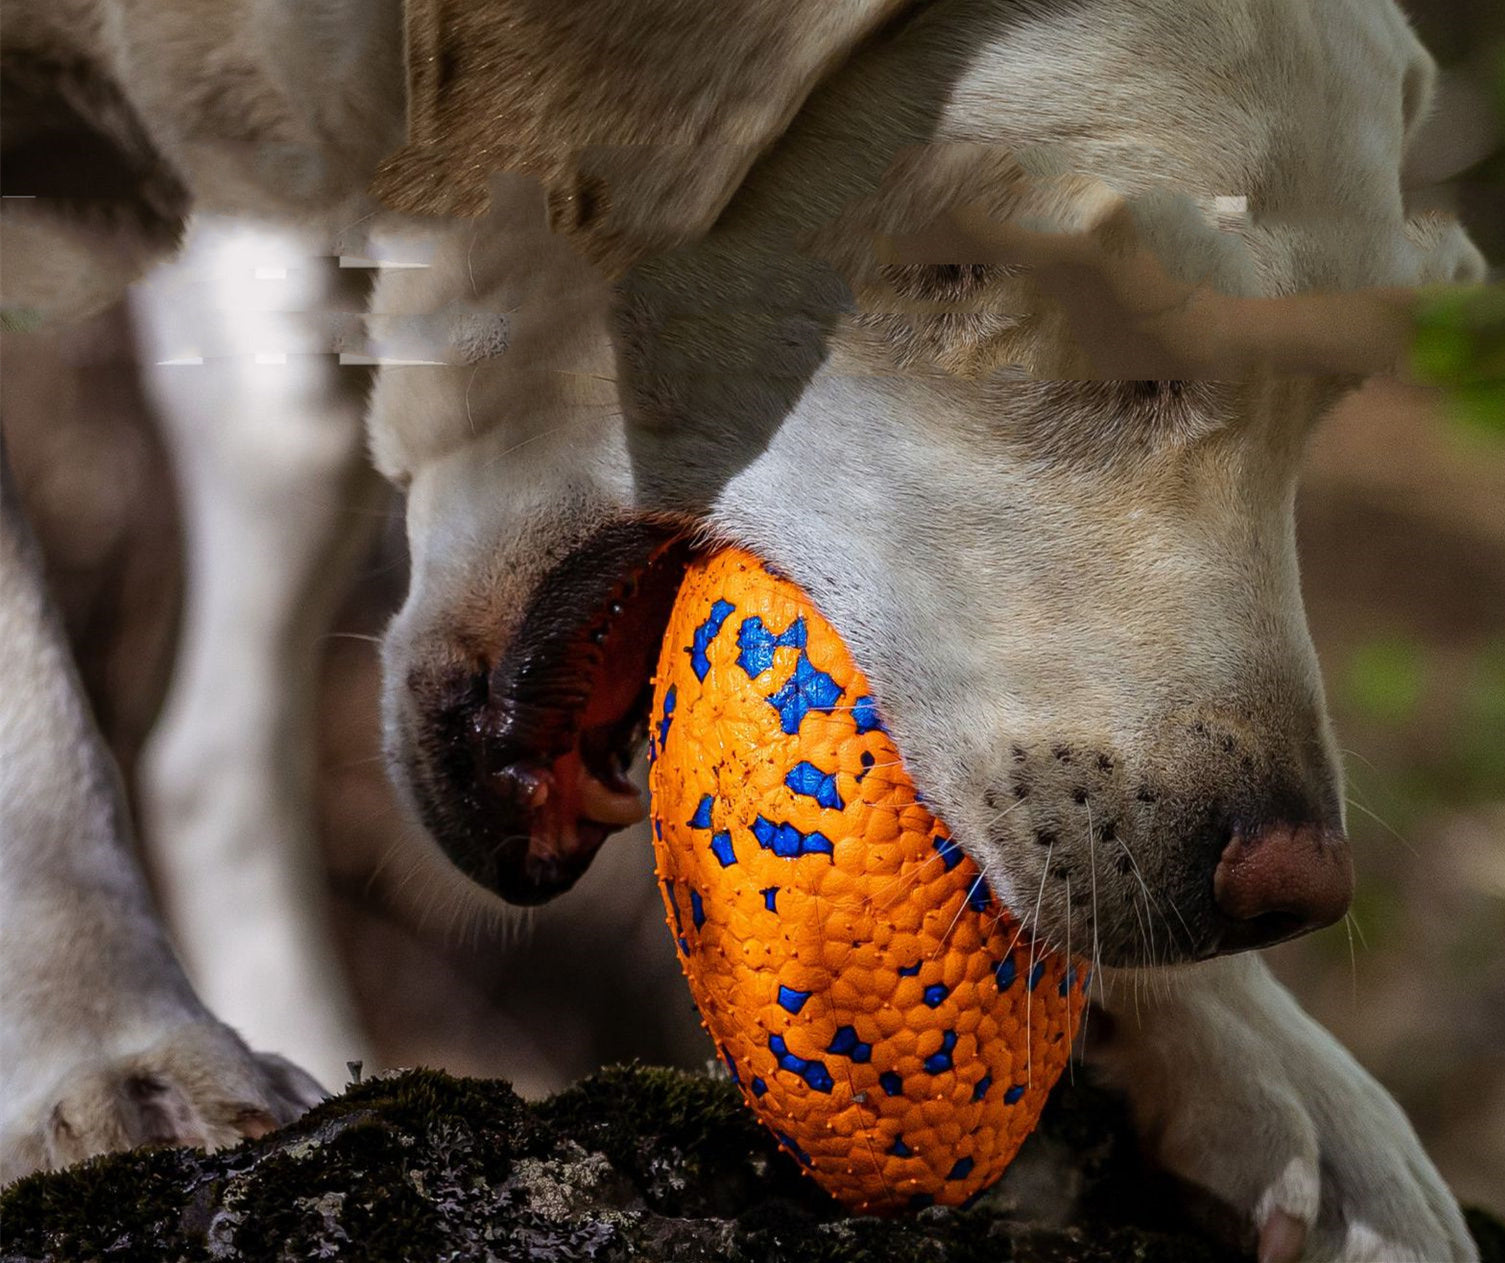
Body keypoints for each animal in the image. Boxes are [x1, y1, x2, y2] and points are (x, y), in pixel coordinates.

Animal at [0, 2, 1480, 1263]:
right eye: (1093, 306)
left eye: (1331, 395)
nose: (1292, 889)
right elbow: (33, 709)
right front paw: (109, 1040)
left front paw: (1275, 1065)